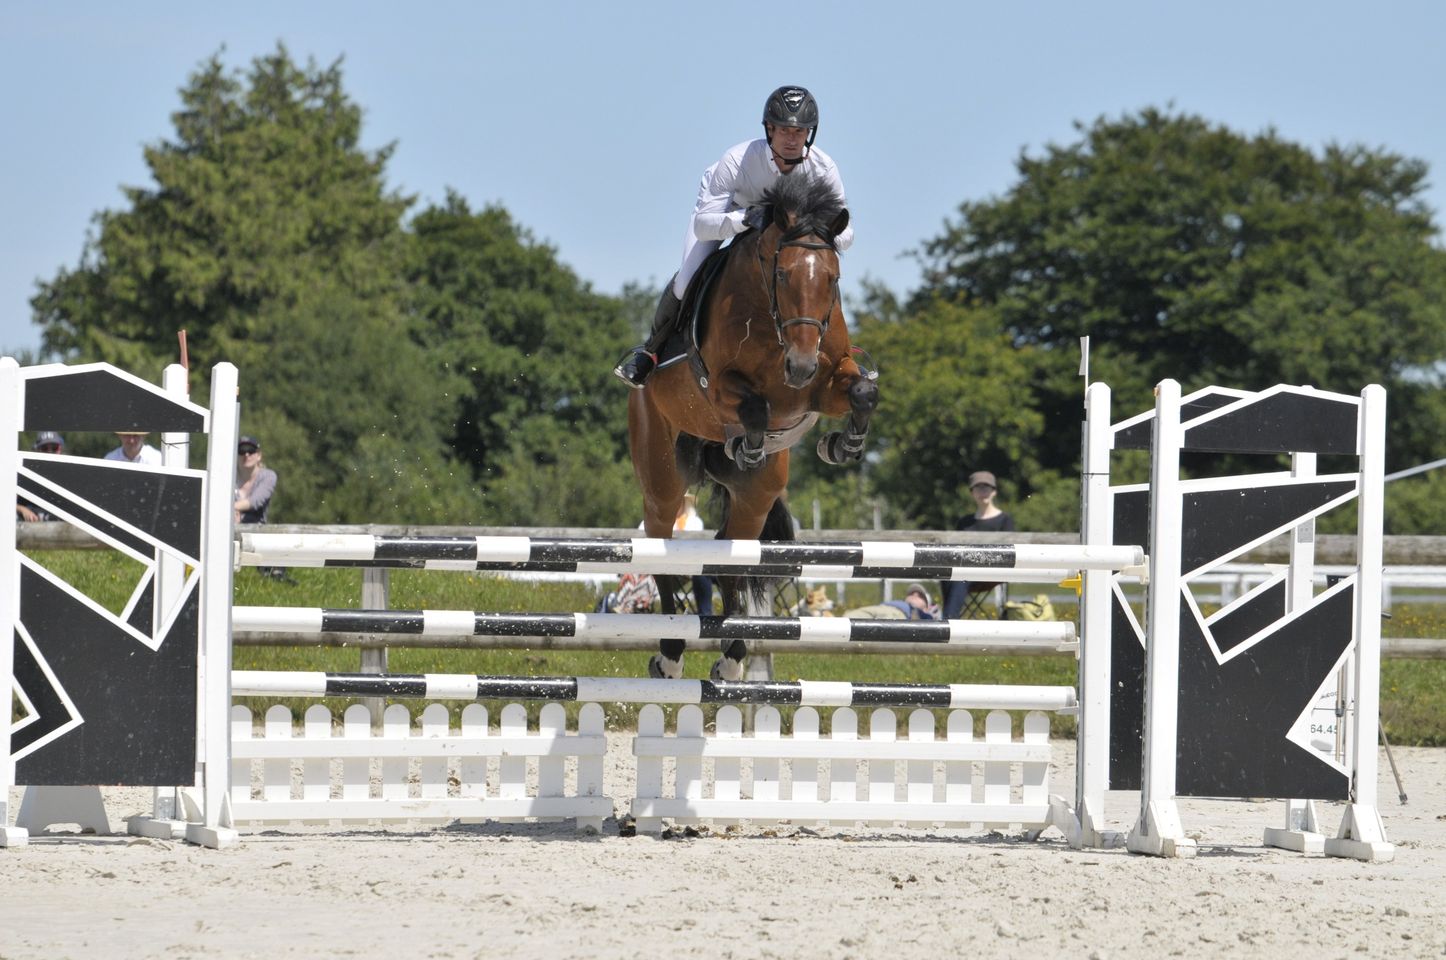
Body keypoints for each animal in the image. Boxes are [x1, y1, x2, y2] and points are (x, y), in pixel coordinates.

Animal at [624, 172, 873, 682]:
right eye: (782, 274)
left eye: (833, 279)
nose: (799, 366)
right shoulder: (720, 386)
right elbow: (755, 407)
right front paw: (750, 443)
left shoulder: (823, 386)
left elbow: (862, 391)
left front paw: (843, 444)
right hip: (661, 478)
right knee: (663, 551)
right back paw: (670, 655)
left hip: (755, 498)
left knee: (730, 559)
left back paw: (732, 658)